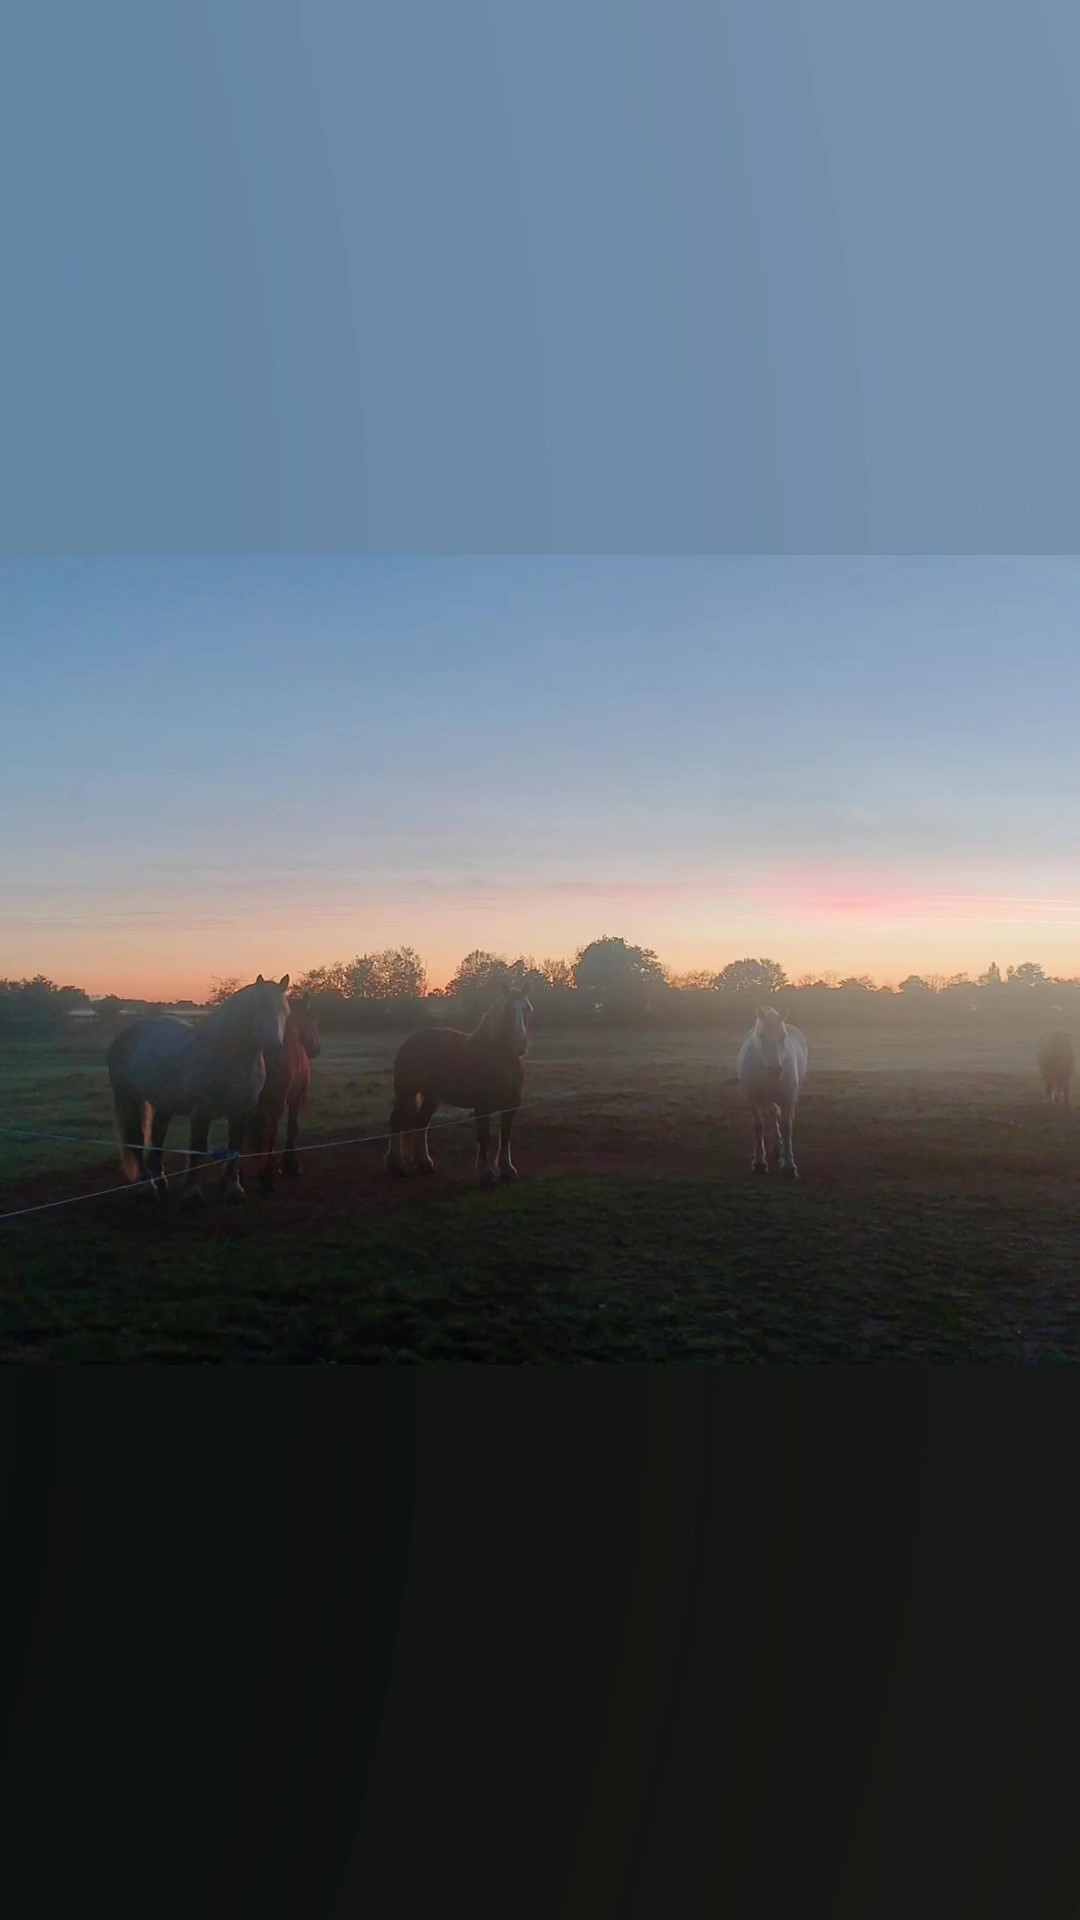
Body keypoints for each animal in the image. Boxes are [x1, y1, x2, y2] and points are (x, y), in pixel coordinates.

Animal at [106, 967, 290, 1205]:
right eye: (259, 1008)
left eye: (284, 1011)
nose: (275, 1047)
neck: (227, 1056)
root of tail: (125, 1033)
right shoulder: (201, 1112)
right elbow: (197, 1148)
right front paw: (192, 1191)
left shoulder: (242, 1111)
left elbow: (235, 1148)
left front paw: (234, 1189)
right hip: (128, 1097)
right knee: (136, 1139)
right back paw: (147, 1187)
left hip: (164, 1103)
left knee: (158, 1135)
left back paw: (161, 1181)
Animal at [247, 998, 319, 1190]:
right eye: (312, 1020)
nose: (317, 1048)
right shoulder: (297, 1099)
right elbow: (292, 1128)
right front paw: (291, 1166)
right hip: (275, 1103)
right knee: (270, 1130)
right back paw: (266, 1177)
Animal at [384, 990, 530, 1182]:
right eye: (506, 1011)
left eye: (527, 1009)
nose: (520, 1044)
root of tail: (410, 1041)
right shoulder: (482, 1106)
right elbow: (484, 1136)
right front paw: (486, 1172)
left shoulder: (511, 1107)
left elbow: (505, 1136)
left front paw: (507, 1169)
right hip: (406, 1092)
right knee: (396, 1121)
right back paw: (396, 1165)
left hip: (431, 1097)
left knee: (422, 1122)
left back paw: (424, 1163)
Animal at [730, 1013, 807, 1175]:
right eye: (762, 1035)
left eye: (783, 1035)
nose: (775, 1070)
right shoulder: (753, 1101)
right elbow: (759, 1127)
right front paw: (759, 1162)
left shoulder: (788, 1099)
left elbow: (787, 1127)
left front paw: (789, 1165)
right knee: (772, 1115)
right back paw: (777, 1147)